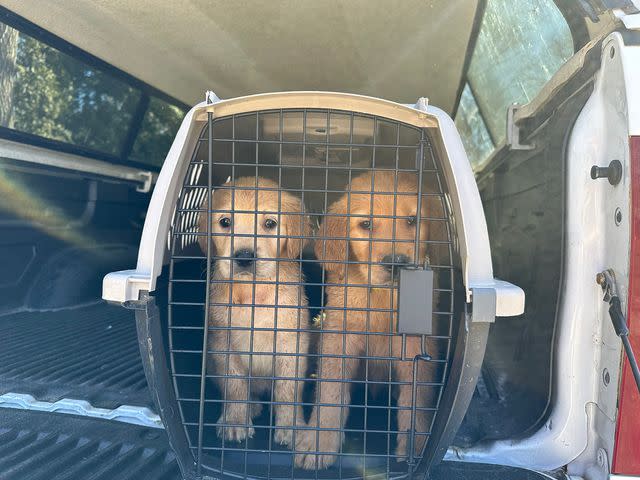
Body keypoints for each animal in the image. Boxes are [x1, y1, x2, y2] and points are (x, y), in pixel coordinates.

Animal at [198, 177, 312, 450]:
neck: (252, 291)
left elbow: (287, 391)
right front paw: (236, 421)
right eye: (225, 222)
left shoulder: (291, 344)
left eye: (270, 223)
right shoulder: (223, 344)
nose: (244, 257)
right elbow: (235, 385)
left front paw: (290, 427)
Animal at [296, 172, 440, 468]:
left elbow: (417, 399)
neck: (382, 298)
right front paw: (319, 441)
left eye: (412, 220)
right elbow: (330, 392)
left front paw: (416, 445)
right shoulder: (338, 336)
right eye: (366, 224)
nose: (396, 263)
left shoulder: (416, 346)